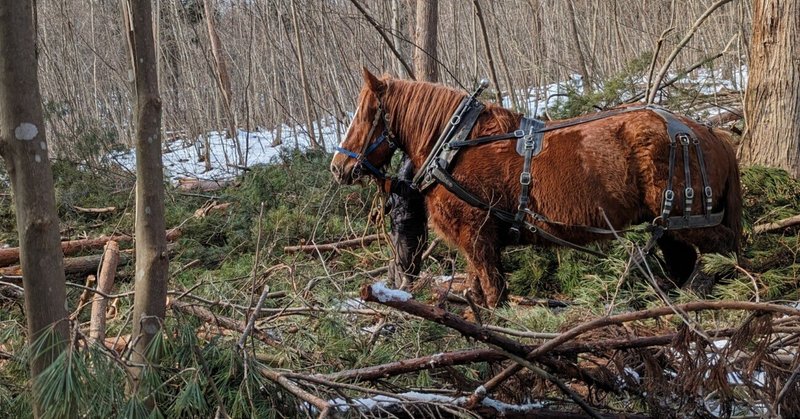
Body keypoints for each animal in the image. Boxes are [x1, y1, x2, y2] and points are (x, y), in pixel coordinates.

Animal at [332, 68, 744, 306]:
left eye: (367, 115)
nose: (338, 166)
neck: (454, 145)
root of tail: (707, 132)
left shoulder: (477, 237)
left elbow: (494, 297)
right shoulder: (477, 244)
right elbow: (479, 294)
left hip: (691, 220)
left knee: (726, 251)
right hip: (668, 226)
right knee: (683, 262)